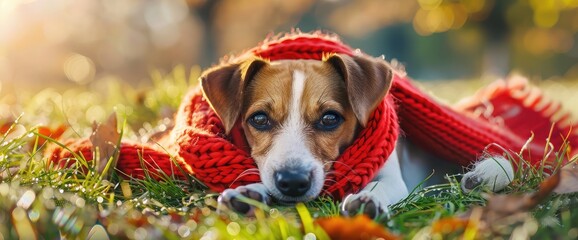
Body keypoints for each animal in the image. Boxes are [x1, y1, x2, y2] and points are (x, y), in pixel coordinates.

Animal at [200, 54, 510, 218]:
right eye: (259, 119)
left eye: (329, 118)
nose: (293, 182)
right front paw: (248, 193)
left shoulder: (393, 177)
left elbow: (379, 185)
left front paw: (367, 198)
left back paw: (483, 175)